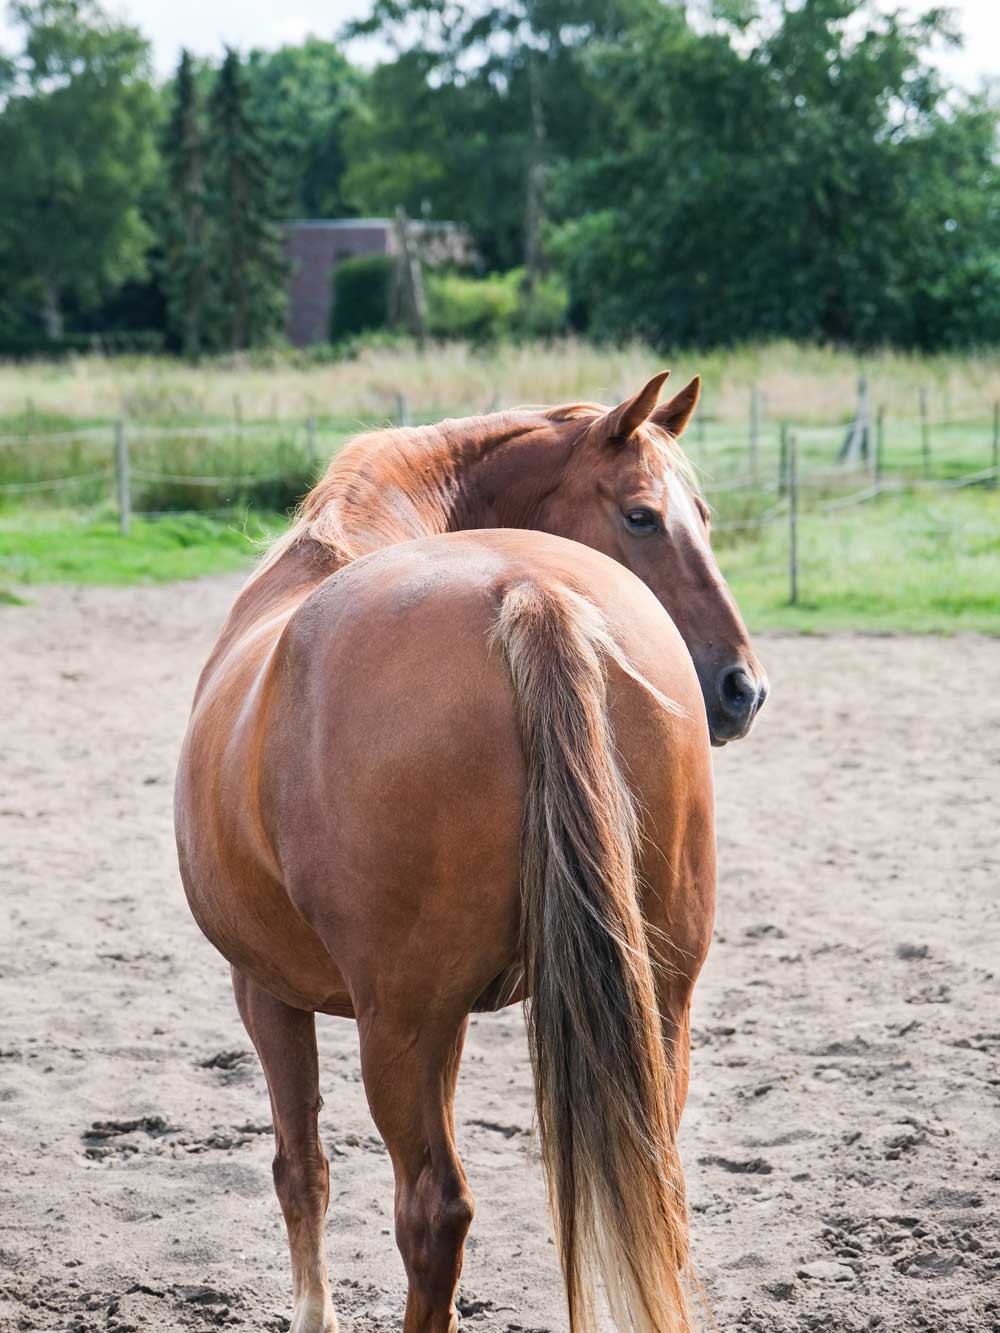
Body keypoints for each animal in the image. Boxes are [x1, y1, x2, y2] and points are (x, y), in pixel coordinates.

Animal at [174, 373, 768, 1333]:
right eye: (645, 515)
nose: (743, 689)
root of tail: (531, 593)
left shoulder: (266, 987)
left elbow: (302, 1169)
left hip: (399, 1026)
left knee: (432, 1210)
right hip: (658, 1000)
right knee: (658, 1183)